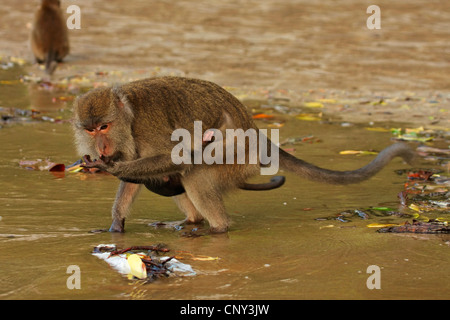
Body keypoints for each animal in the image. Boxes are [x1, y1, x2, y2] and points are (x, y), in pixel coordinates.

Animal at [73, 76, 414, 234]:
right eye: (90, 130)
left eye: (104, 126)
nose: (101, 147)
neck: (129, 115)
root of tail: (258, 136)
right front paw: (116, 226)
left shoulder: (147, 128)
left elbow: (176, 157)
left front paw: (112, 169)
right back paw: (193, 221)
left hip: (238, 159)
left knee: (195, 169)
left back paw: (217, 229)